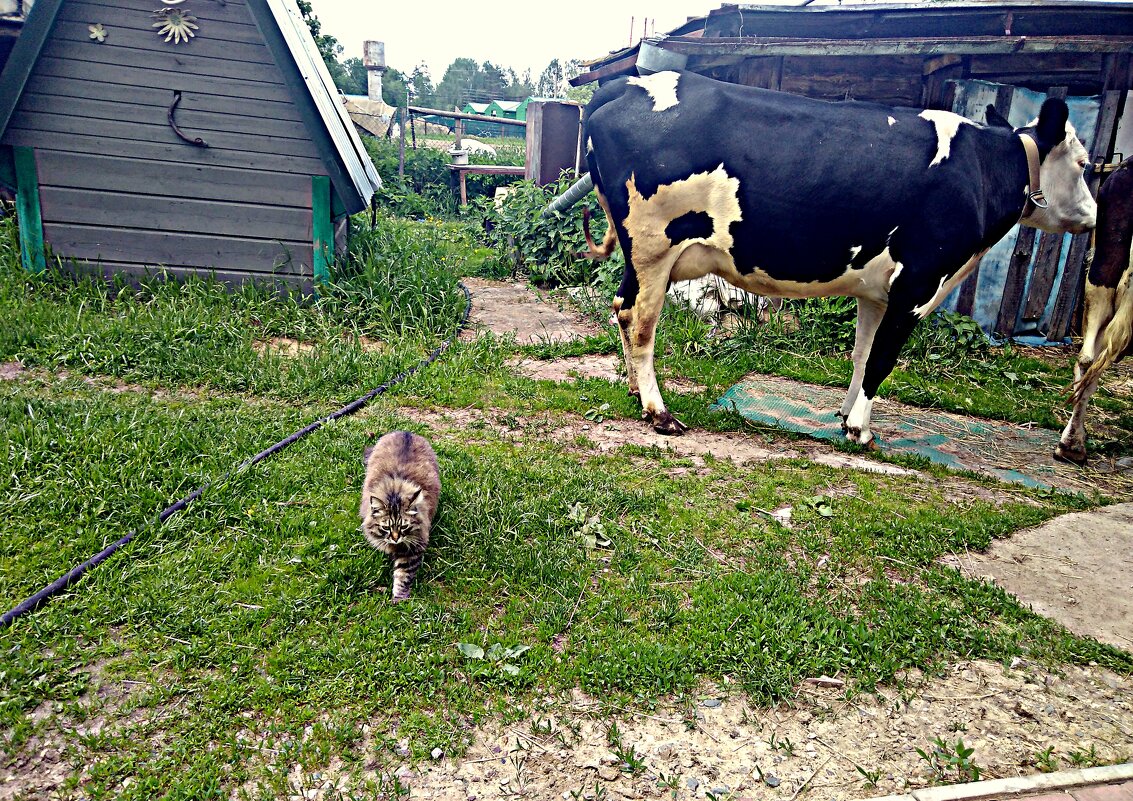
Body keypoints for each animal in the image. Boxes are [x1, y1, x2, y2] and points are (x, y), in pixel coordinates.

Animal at [360, 432, 439, 602]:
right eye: (386, 527)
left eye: (404, 526)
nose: (395, 538)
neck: (394, 492)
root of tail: (406, 432)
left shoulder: (412, 547)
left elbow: (403, 575)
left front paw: (399, 599)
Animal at [584, 68, 1096, 444]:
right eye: (1084, 163)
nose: (1093, 216)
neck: (982, 171)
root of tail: (621, 85)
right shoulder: (919, 282)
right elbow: (883, 359)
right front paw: (860, 431)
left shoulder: (877, 292)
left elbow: (862, 354)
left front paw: (845, 414)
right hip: (654, 248)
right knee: (639, 319)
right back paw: (658, 411)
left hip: (641, 256)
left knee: (621, 306)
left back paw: (633, 389)